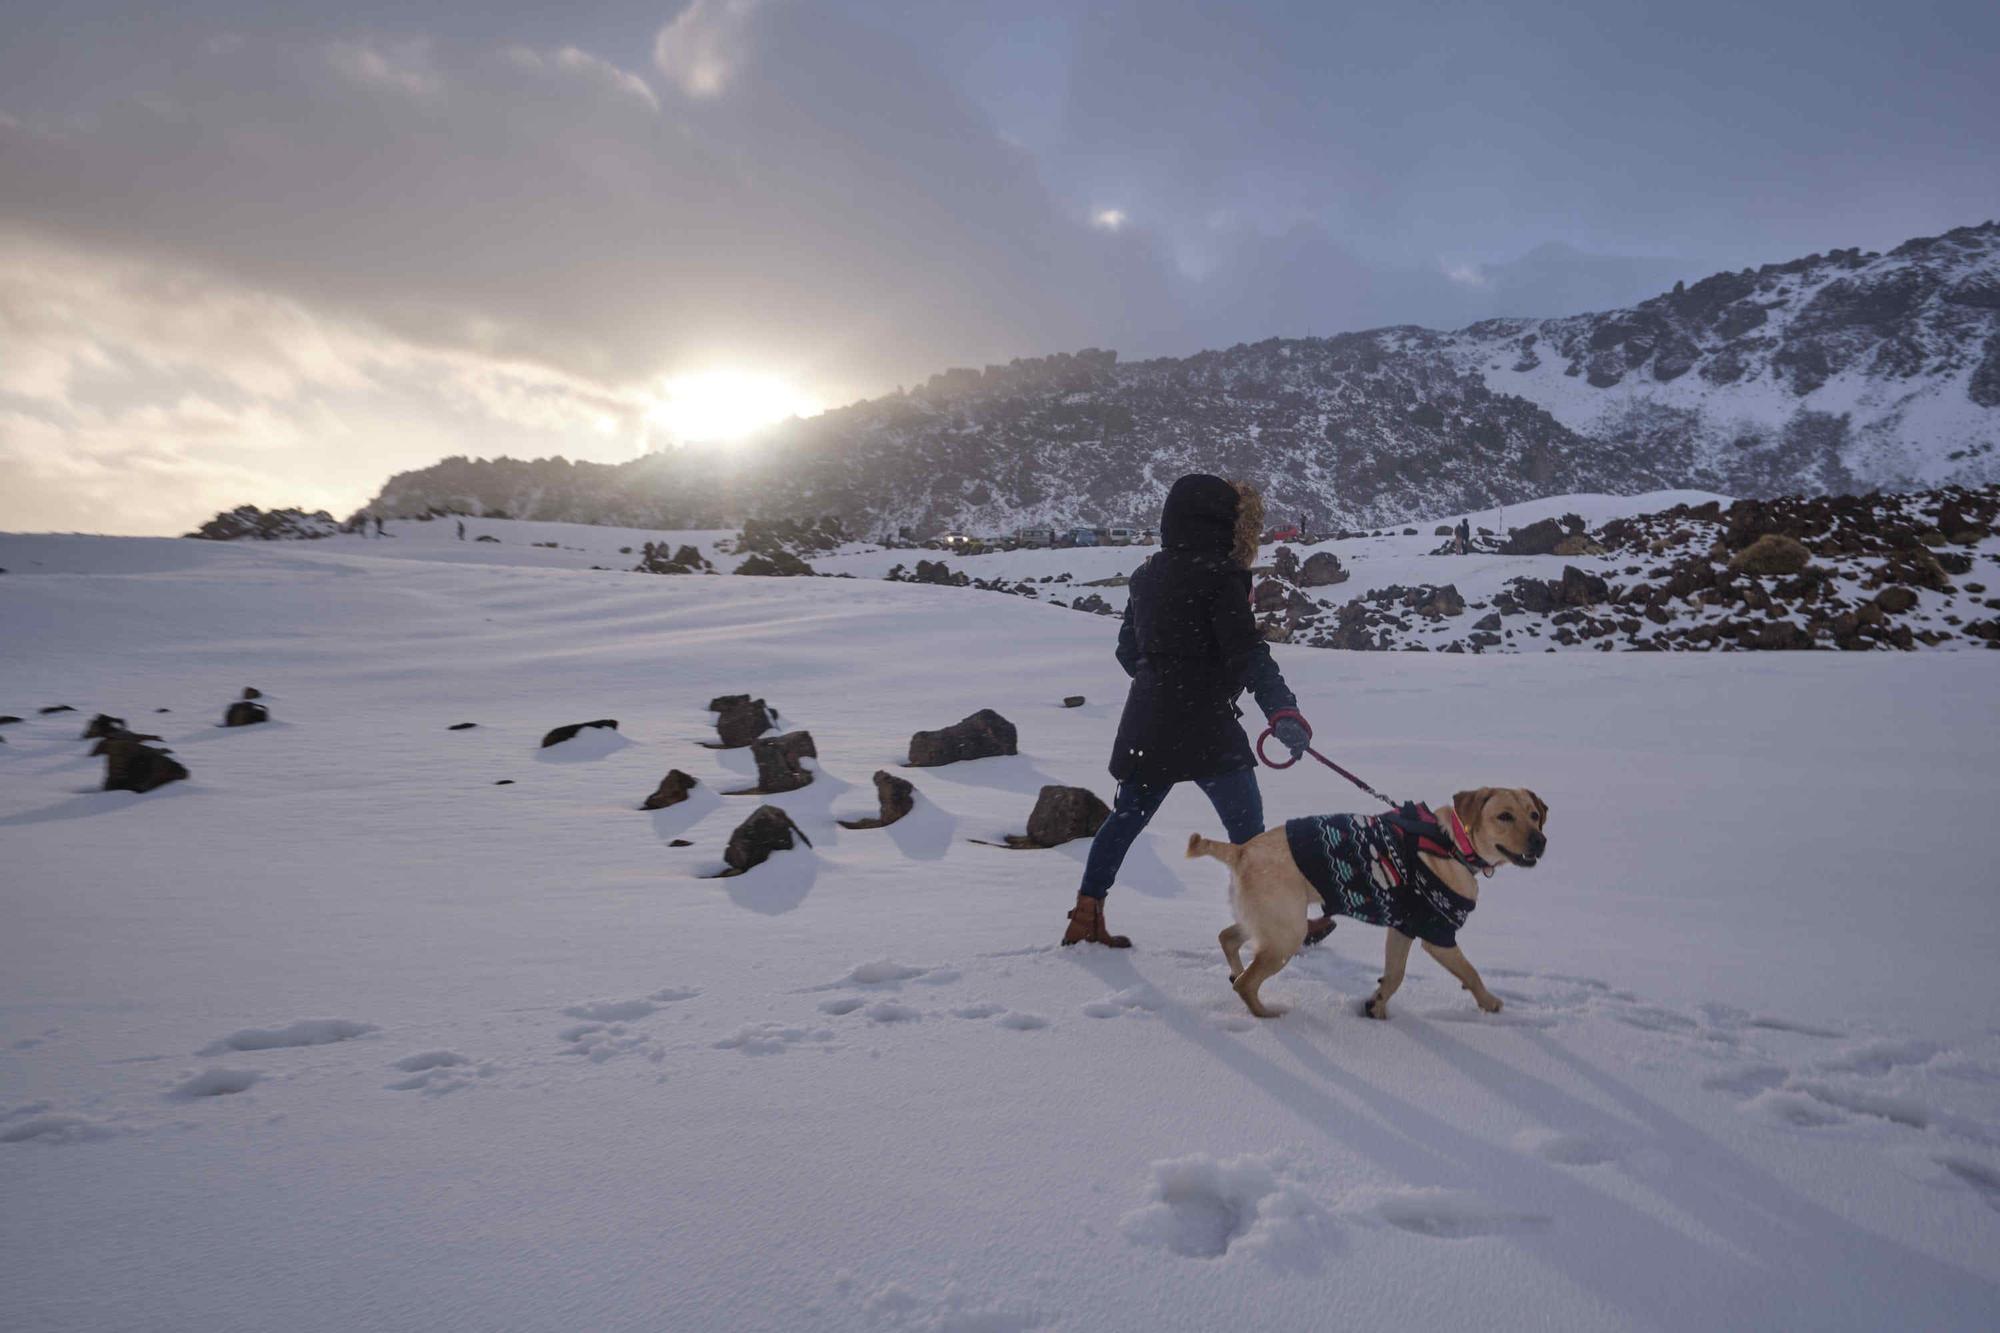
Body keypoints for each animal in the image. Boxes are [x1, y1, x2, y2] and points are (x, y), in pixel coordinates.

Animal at [1184, 788, 1544, 1016]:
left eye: (1535, 815)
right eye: (1505, 816)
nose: (1540, 841)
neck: (1451, 843)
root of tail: (1241, 850)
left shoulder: (1403, 928)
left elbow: (1395, 974)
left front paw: (1377, 1006)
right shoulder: (1437, 933)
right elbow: (1471, 973)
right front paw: (1490, 1003)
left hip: (1271, 923)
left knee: (1227, 938)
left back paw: (1235, 973)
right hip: (1285, 934)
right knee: (1247, 984)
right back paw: (1268, 1013)